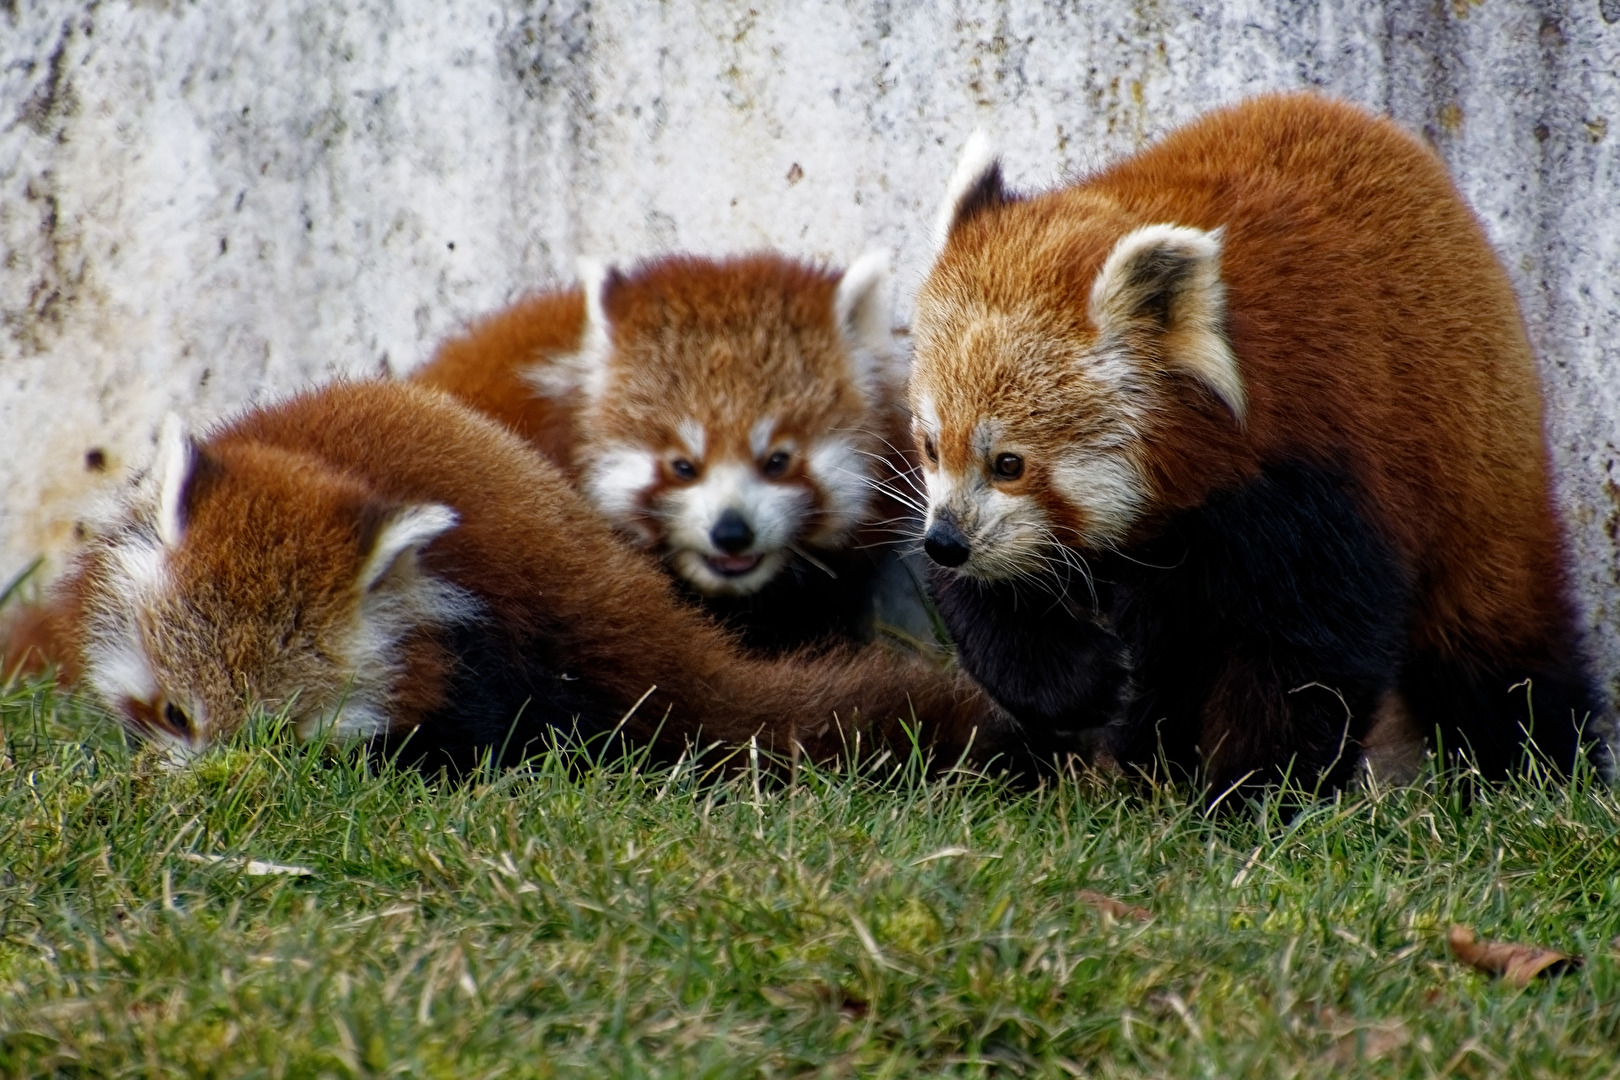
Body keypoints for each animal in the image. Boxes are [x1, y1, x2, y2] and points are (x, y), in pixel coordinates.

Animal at [913, 93, 1607, 799]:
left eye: (1010, 464)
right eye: (932, 447)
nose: (947, 542)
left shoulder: (1318, 471)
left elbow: (1309, 655)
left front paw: (1255, 794)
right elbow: (992, 602)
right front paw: (1084, 685)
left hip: (1478, 486)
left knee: (1494, 655)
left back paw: (1544, 772)